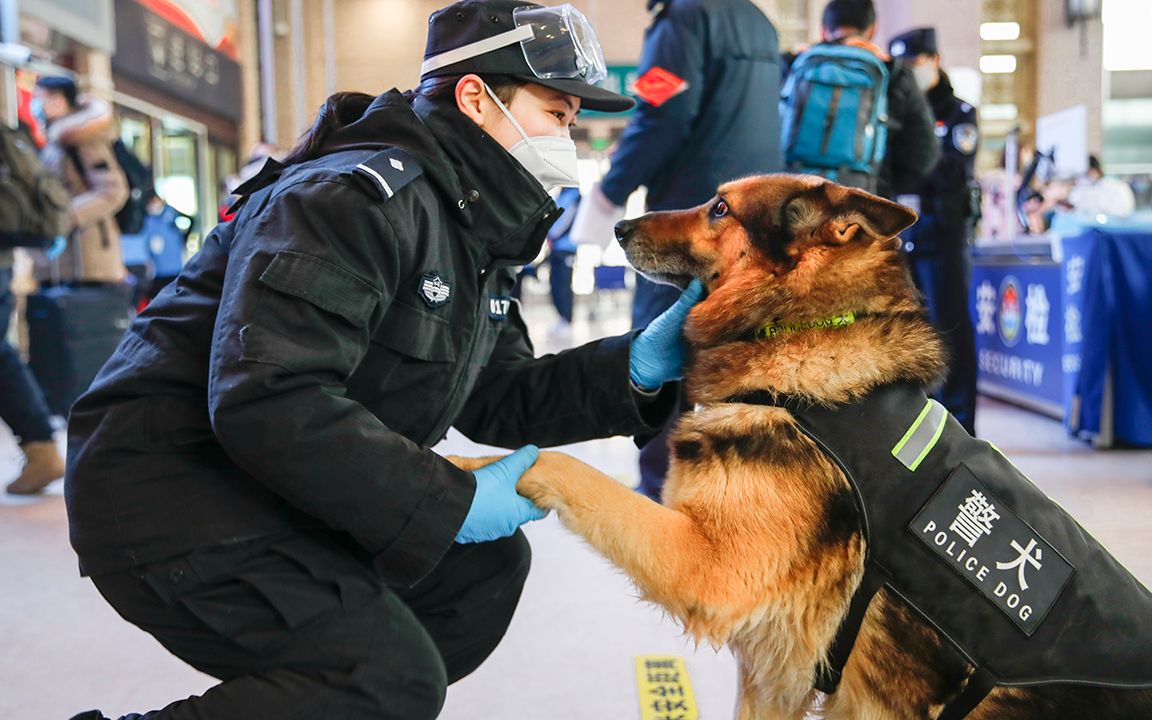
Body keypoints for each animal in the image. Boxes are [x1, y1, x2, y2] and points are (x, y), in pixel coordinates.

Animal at [451, 175, 1152, 718]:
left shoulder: (705, 569)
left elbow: (558, 461)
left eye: (720, 208)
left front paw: (467, 473)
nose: (617, 225)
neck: (801, 330)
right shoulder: (770, 682)